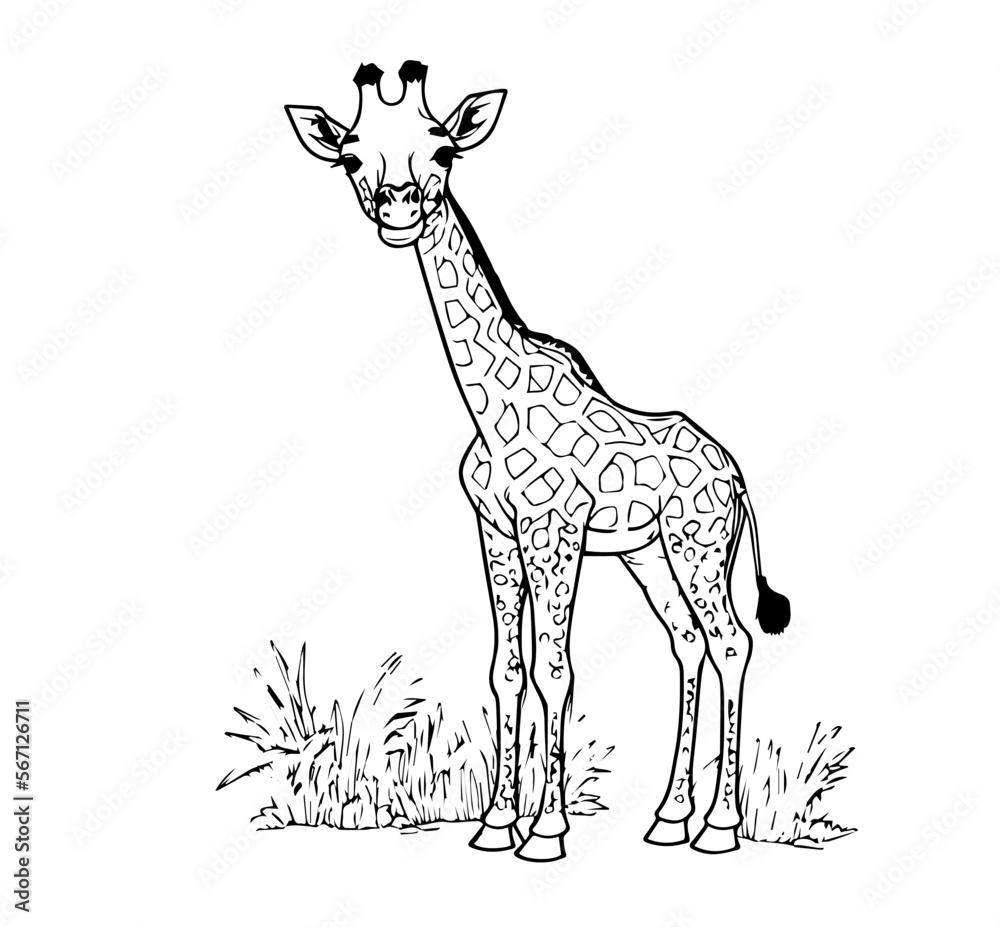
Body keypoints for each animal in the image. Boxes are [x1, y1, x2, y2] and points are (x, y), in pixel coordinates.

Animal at [286, 61, 791, 862]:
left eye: (443, 151)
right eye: (352, 158)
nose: (398, 210)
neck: (489, 407)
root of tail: (736, 473)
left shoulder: (555, 531)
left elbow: (555, 668)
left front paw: (545, 830)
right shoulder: (497, 530)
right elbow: (507, 669)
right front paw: (497, 823)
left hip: (699, 544)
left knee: (730, 640)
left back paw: (717, 827)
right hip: (648, 553)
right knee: (687, 643)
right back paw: (668, 818)